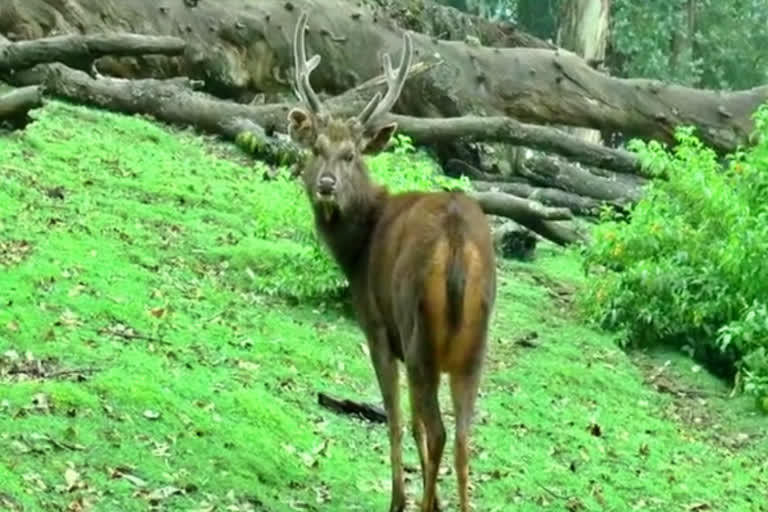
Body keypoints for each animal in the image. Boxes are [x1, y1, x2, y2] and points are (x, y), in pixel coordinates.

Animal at [288, 13, 498, 512]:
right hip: (475, 347)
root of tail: (458, 245)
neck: (356, 249)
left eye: (350, 154)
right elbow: (418, 425)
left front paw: (400, 498)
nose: (326, 185)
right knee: (464, 437)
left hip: (419, 329)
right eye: (316, 148)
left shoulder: (377, 326)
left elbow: (397, 417)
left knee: (438, 430)